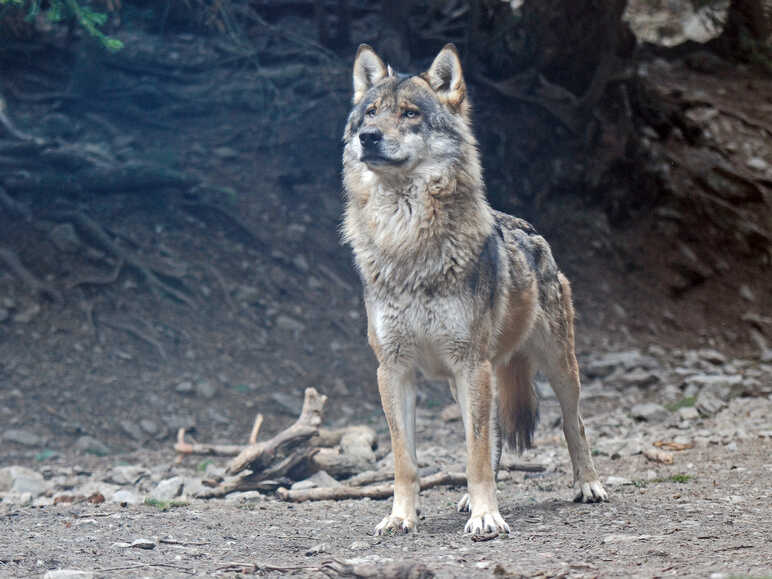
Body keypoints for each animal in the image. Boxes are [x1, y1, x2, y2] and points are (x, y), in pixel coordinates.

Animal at [340, 43, 608, 536]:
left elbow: (476, 451)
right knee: (495, 433)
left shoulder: (470, 364)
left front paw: (487, 516)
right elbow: (406, 459)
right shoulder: (393, 370)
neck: (406, 241)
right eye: (370, 112)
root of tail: (530, 228)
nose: (368, 136)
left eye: (409, 114)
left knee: (572, 423)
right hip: (467, 379)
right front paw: (401, 517)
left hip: (557, 366)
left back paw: (588, 485)